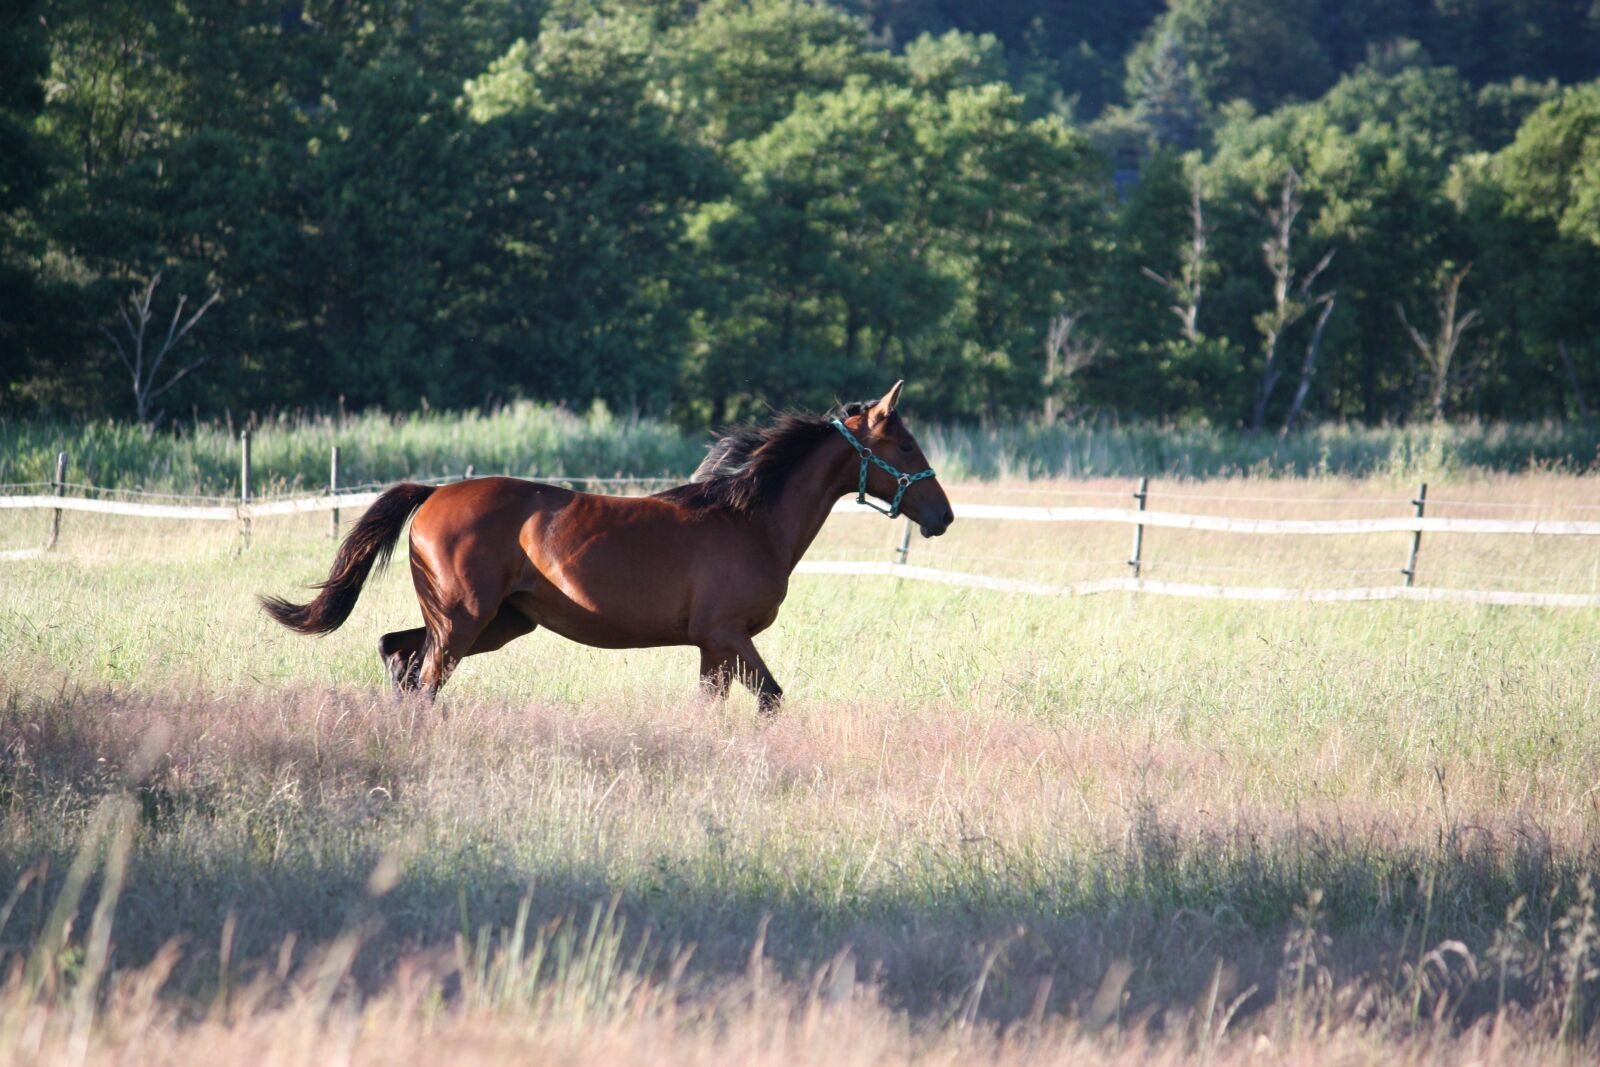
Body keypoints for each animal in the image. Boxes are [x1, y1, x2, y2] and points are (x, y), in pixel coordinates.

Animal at [259, 381, 953, 712]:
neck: (750, 520)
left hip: (498, 622)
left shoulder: (712, 648)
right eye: (905, 445)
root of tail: (432, 494)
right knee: (424, 677)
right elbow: (773, 700)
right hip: (462, 621)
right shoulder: (728, 636)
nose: (943, 515)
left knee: (397, 654)